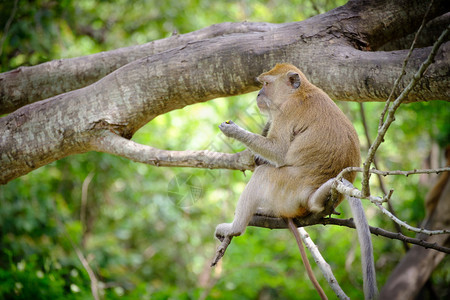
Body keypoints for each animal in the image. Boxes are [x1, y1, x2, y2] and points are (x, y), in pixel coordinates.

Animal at [216, 62, 378, 298]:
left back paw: (235, 228)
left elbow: (279, 151)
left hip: (287, 188)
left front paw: (233, 130)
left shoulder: (287, 112)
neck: (299, 92)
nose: (258, 94)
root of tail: (311, 198)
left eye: (266, 83)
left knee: (264, 175)